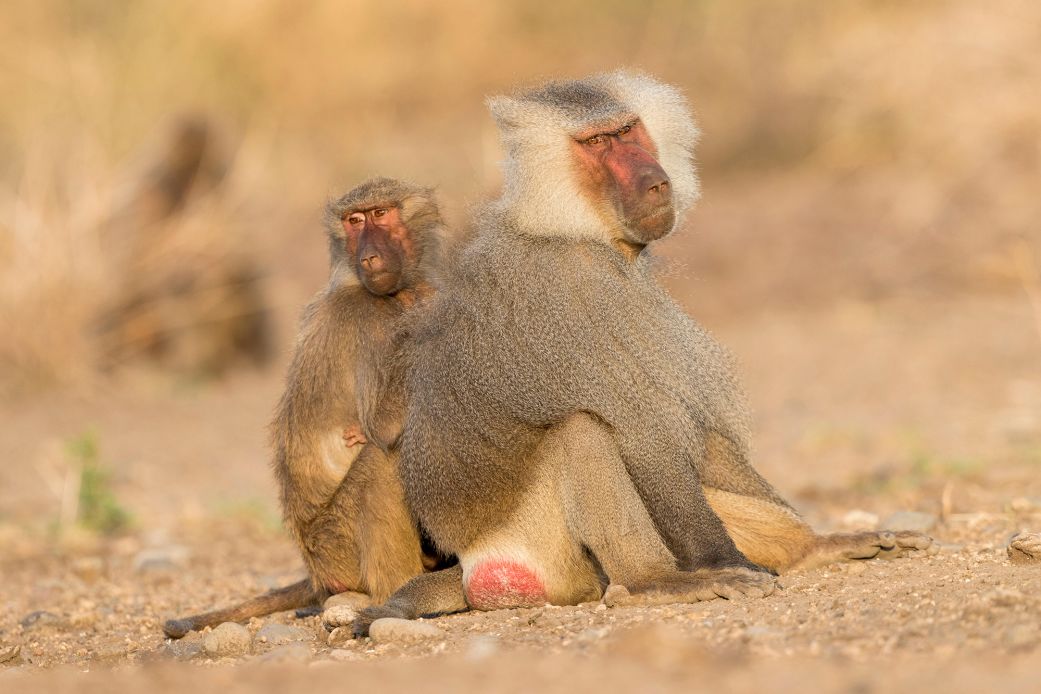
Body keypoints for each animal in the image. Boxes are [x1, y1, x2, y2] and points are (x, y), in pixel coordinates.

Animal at [163, 178, 447, 639]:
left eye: (380, 214)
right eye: (354, 221)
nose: (369, 256)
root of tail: (315, 571)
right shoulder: (372, 320)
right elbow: (384, 426)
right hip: (337, 548)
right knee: (381, 463)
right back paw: (399, 594)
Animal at [353, 71, 933, 635]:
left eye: (629, 131)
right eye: (597, 143)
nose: (655, 182)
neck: (572, 227)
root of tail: (469, 561)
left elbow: (698, 437)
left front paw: (814, 546)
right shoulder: (585, 295)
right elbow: (646, 437)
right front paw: (726, 564)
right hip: (540, 549)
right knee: (582, 433)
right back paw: (656, 581)